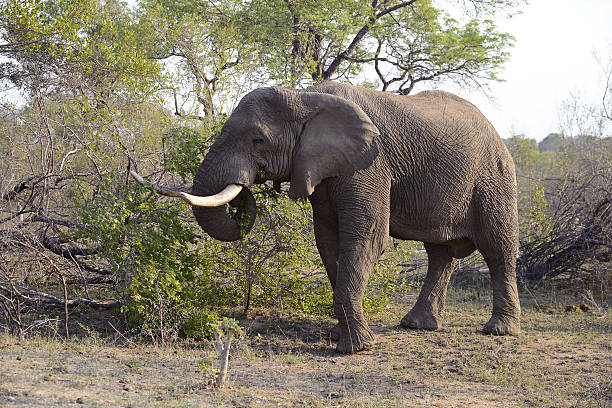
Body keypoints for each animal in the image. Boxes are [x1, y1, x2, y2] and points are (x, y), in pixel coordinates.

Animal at [133, 80, 520, 354]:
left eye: (258, 140)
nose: (246, 189)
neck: (305, 96)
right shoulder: (320, 167)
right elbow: (328, 240)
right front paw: (339, 334)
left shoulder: (370, 165)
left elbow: (366, 237)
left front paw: (355, 349)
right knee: (439, 253)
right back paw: (416, 325)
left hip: (495, 176)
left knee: (497, 248)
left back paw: (499, 330)